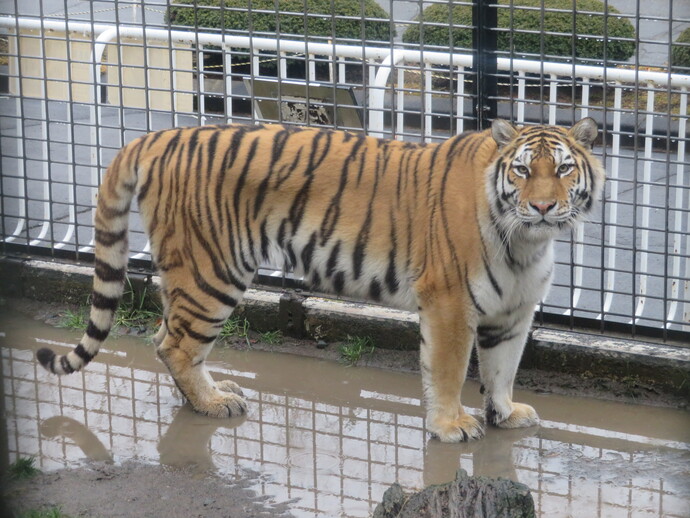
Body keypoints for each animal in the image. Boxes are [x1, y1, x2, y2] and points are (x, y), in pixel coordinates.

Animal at [35, 118, 600, 442]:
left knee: (164, 337)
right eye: (523, 171)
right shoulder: (449, 303)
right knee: (175, 343)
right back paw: (213, 403)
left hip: (193, 274)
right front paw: (450, 426)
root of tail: (159, 136)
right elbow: (447, 371)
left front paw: (505, 413)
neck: (527, 242)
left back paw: (203, 395)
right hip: (212, 271)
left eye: (564, 169)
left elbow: (503, 369)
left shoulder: (513, 312)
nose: (543, 207)